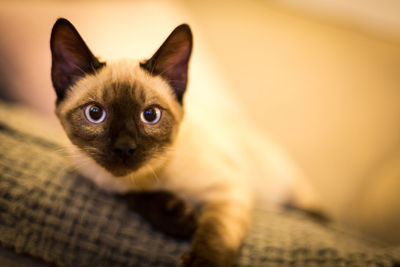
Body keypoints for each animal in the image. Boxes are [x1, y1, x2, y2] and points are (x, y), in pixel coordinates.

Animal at [50, 17, 253, 266]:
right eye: (95, 113)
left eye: (150, 115)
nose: (124, 148)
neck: (146, 178)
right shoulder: (106, 182)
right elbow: (134, 197)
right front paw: (179, 217)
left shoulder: (229, 189)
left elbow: (215, 234)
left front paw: (202, 258)